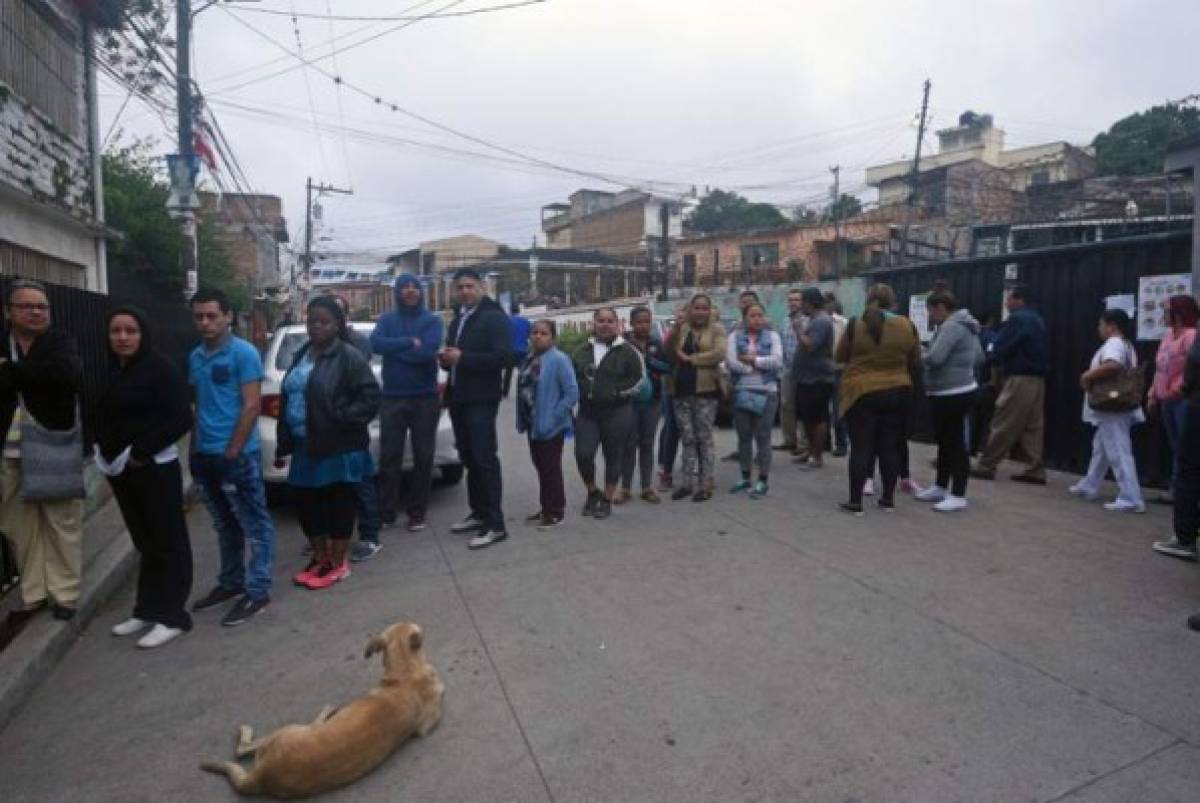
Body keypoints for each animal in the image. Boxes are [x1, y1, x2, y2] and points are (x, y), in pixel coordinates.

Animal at [201, 619, 446, 796]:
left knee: (243, 748)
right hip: (289, 730)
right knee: (243, 747)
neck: (406, 670)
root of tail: (262, 775)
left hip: (289, 731)